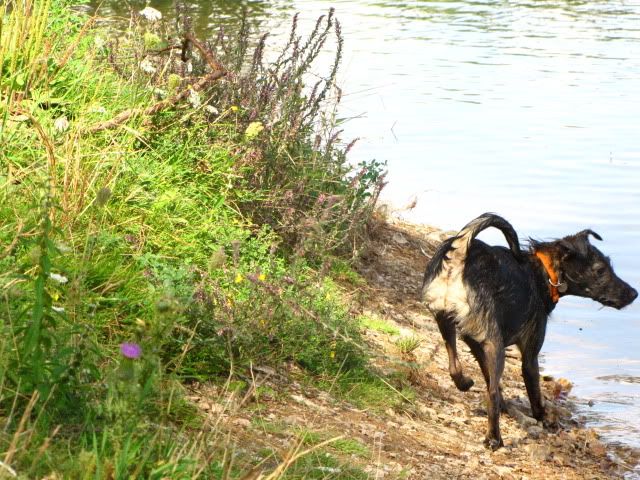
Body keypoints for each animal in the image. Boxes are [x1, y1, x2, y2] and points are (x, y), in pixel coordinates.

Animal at [421, 213, 637, 449]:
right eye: (600, 269)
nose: (634, 293)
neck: (543, 272)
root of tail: (459, 256)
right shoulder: (530, 354)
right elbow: (533, 393)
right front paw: (544, 419)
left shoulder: (474, 342)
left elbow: (488, 378)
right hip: (495, 344)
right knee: (492, 394)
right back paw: (494, 438)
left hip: (444, 322)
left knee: (455, 367)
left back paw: (465, 383)